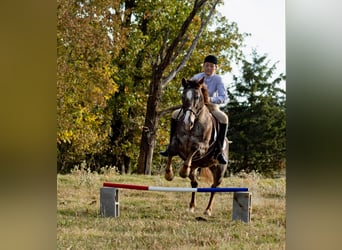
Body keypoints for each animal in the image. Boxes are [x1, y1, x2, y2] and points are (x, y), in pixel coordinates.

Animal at [164, 77, 228, 215]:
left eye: (197, 97)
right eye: (183, 96)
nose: (187, 122)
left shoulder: (203, 147)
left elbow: (194, 148)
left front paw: (183, 171)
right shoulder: (177, 142)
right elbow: (171, 150)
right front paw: (169, 174)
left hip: (219, 169)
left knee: (214, 187)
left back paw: (208, 210)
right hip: (196, 166)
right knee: (194, 183)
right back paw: (191, 206)